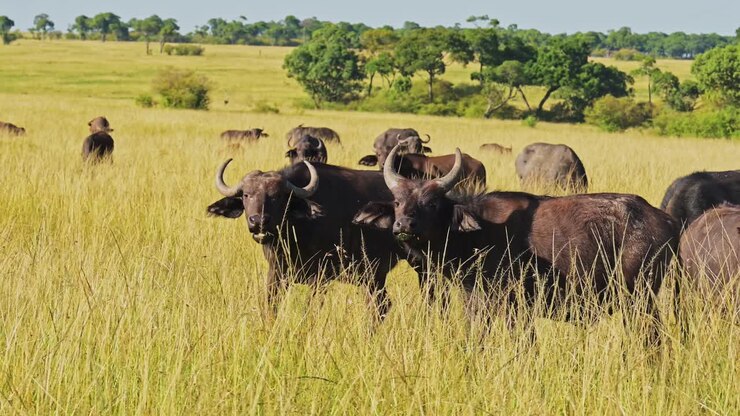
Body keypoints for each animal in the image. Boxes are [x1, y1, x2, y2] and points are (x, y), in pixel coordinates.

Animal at [207, 159, 400, 319]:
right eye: (246, 195)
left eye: (277, 196)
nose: (258, 221)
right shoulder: (277, 272)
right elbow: (271, 307)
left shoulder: (321, 277)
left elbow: (310, 310)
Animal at [355, 145, 678, 341]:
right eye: (398, 201)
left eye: (432, 203)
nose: (404, 226)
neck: (480, 233)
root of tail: (665, 220)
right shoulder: (475, 303)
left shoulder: (515, 307)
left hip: (639, 300)